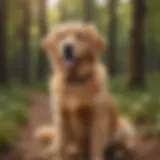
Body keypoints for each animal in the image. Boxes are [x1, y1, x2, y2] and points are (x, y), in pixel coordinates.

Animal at [35, 21, 136, 159]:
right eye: (61, 36)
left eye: (80, 36)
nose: (67, 47)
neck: (76, 82)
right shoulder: (61, 117)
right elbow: (61, 146)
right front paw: (58, 155)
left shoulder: (97, 119)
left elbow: (96, 147)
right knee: (59, 143)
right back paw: (53, 151)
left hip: (124, 126)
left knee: (119, 144)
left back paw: (119, 152)